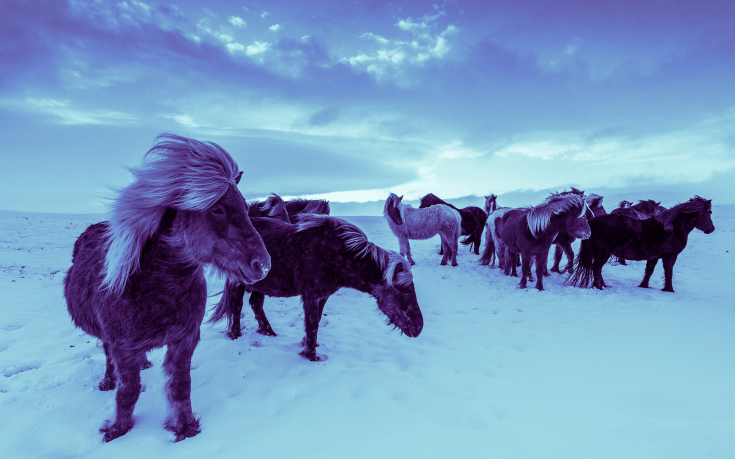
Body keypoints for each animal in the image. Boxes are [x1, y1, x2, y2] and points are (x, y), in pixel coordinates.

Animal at [63, 134, 271, 442]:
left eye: (246, 208)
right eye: (217, 208)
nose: (263, 265)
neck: (157, 288)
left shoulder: (185, 340)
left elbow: (180, 385)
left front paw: (185, 427)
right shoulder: (123, 346)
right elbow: (128, 390)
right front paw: (118, 428)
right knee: (108, 355)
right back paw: (108, 380)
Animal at [209, 215, 424, 361]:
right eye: (404, 290)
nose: (419, 327)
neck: (335, 253)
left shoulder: (323, 296)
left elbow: (316, 321)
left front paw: (308, 345)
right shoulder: (311, 296)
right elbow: (312, 323)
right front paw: (311, 355)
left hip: (260, 284)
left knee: (255, 304)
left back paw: (269, 332)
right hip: (238, 283)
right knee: (236, 307)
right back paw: (236, 335)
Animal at [568, 196, 714, 292]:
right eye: (709, 212)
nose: (711, 229)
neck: (671, 228)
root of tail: (593, 221)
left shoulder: (654, 256)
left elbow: (649, 271)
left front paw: (644, 285)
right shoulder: (670, 256)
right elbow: (668, 272)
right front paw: (669, 289)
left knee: (597, 268)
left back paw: (603, 285)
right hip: (604, 252)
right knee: (597, 267)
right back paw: (599, 287)